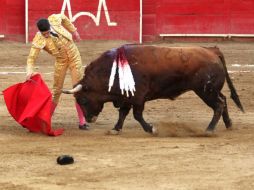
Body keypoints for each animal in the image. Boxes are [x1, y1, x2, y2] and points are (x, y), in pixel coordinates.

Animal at [63, 45, 244, 135]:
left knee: (218, 104)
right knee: (224, 100)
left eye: (83, 99)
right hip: (211, 90)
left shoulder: (138, 97)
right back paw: (228, 124)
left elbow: (136, 115)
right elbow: (123, 113)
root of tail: (213, 51)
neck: (111, 70)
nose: (89, 119)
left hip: (206, 91)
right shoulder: (126, 97)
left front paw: (151, 129)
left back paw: (209, 129)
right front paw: (115, 129)